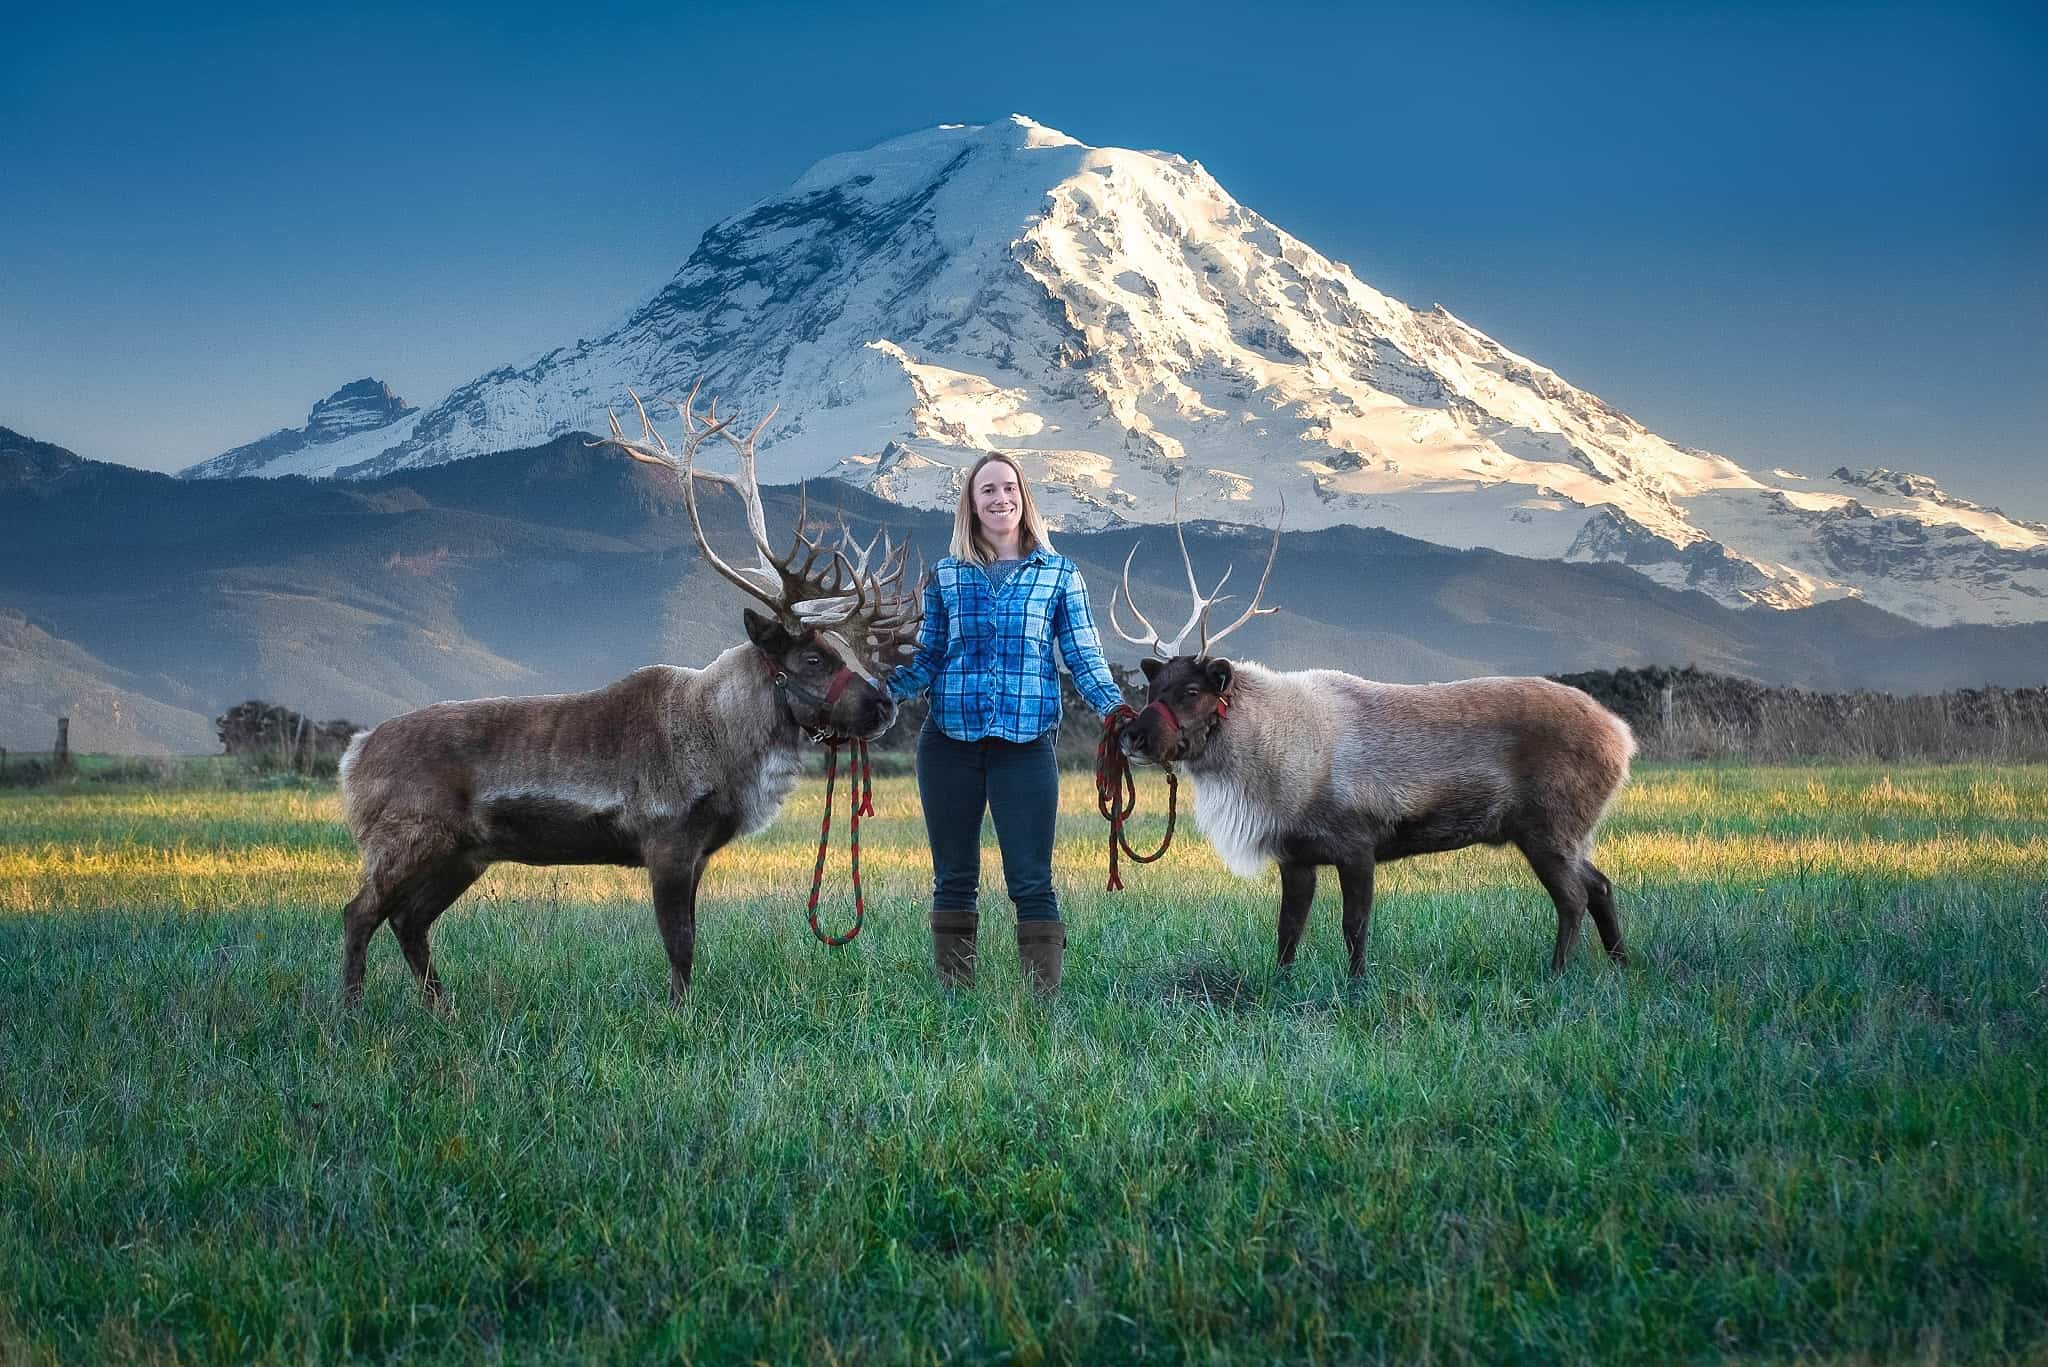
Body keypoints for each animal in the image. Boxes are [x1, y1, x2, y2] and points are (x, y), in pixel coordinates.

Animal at [337, 384, 919, 1007]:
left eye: (846, 651)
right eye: (812, 658)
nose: (884, 706)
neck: (723, 744)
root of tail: (354, 753)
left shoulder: (698, 853)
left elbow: (689, 939)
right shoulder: (666, 843)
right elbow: (679, 943)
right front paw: (679, 1012)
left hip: (462, 854)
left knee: (409, 921)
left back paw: (440, 1009)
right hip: (406, 839)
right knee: (360, 913)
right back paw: (350, 1010)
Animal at [1110, 499, 1635, 977]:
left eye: (1191, 691)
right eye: (1153, 688)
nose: (1130, 735)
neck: (1276, 774)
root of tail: (1623, 737)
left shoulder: (1358, 843)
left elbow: (1354, 927)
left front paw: (1356, 986)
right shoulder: (1295, 856)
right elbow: (1288, 932)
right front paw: (1278, 986)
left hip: (1550, 825)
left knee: (1573, 897)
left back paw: (1558, 972)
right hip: (1565, 832)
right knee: (1601, 886)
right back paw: (1621, 964)